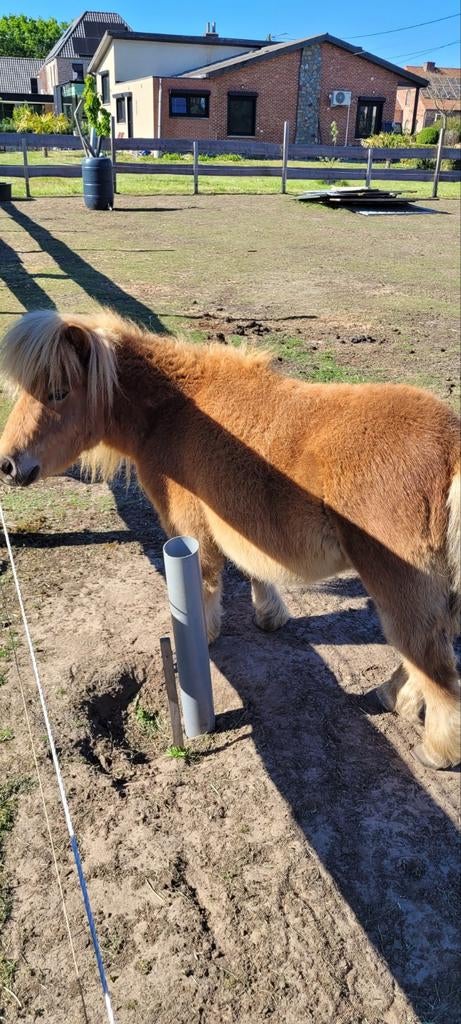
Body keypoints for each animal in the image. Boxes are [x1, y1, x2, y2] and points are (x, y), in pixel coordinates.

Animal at [0, 309, 459, 769]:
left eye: (58, 392)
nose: (7, 465)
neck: (173, 410)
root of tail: (451, 446)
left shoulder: (191, 532)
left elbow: (204, 590)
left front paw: (200, 641)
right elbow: (255, 569)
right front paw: (270, 615)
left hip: (398, 587)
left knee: (434, 667)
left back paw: (435, 750)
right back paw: (392, 697)